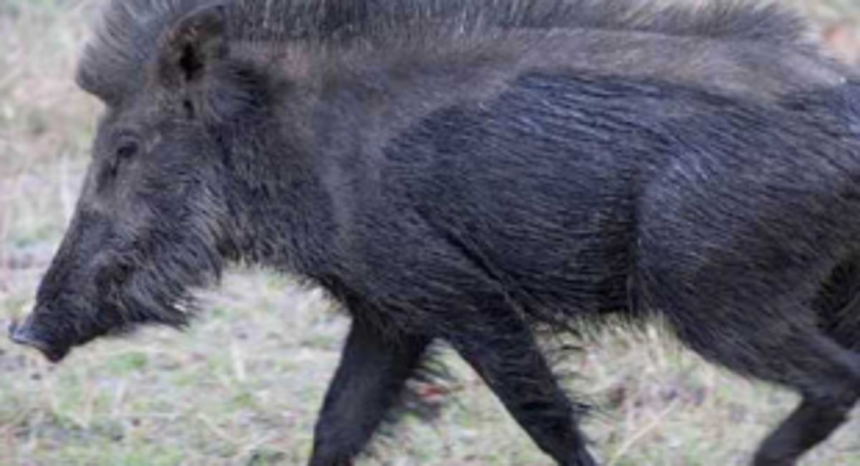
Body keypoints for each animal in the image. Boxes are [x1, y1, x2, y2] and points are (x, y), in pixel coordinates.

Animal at [10, 0, 860, 465]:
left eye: (124, 150)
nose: (25, 330)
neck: (288, 142)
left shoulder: (456, 292)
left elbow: (547, 418)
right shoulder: (390, 312)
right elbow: (337, 426)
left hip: (720, 295)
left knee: (835, 381)